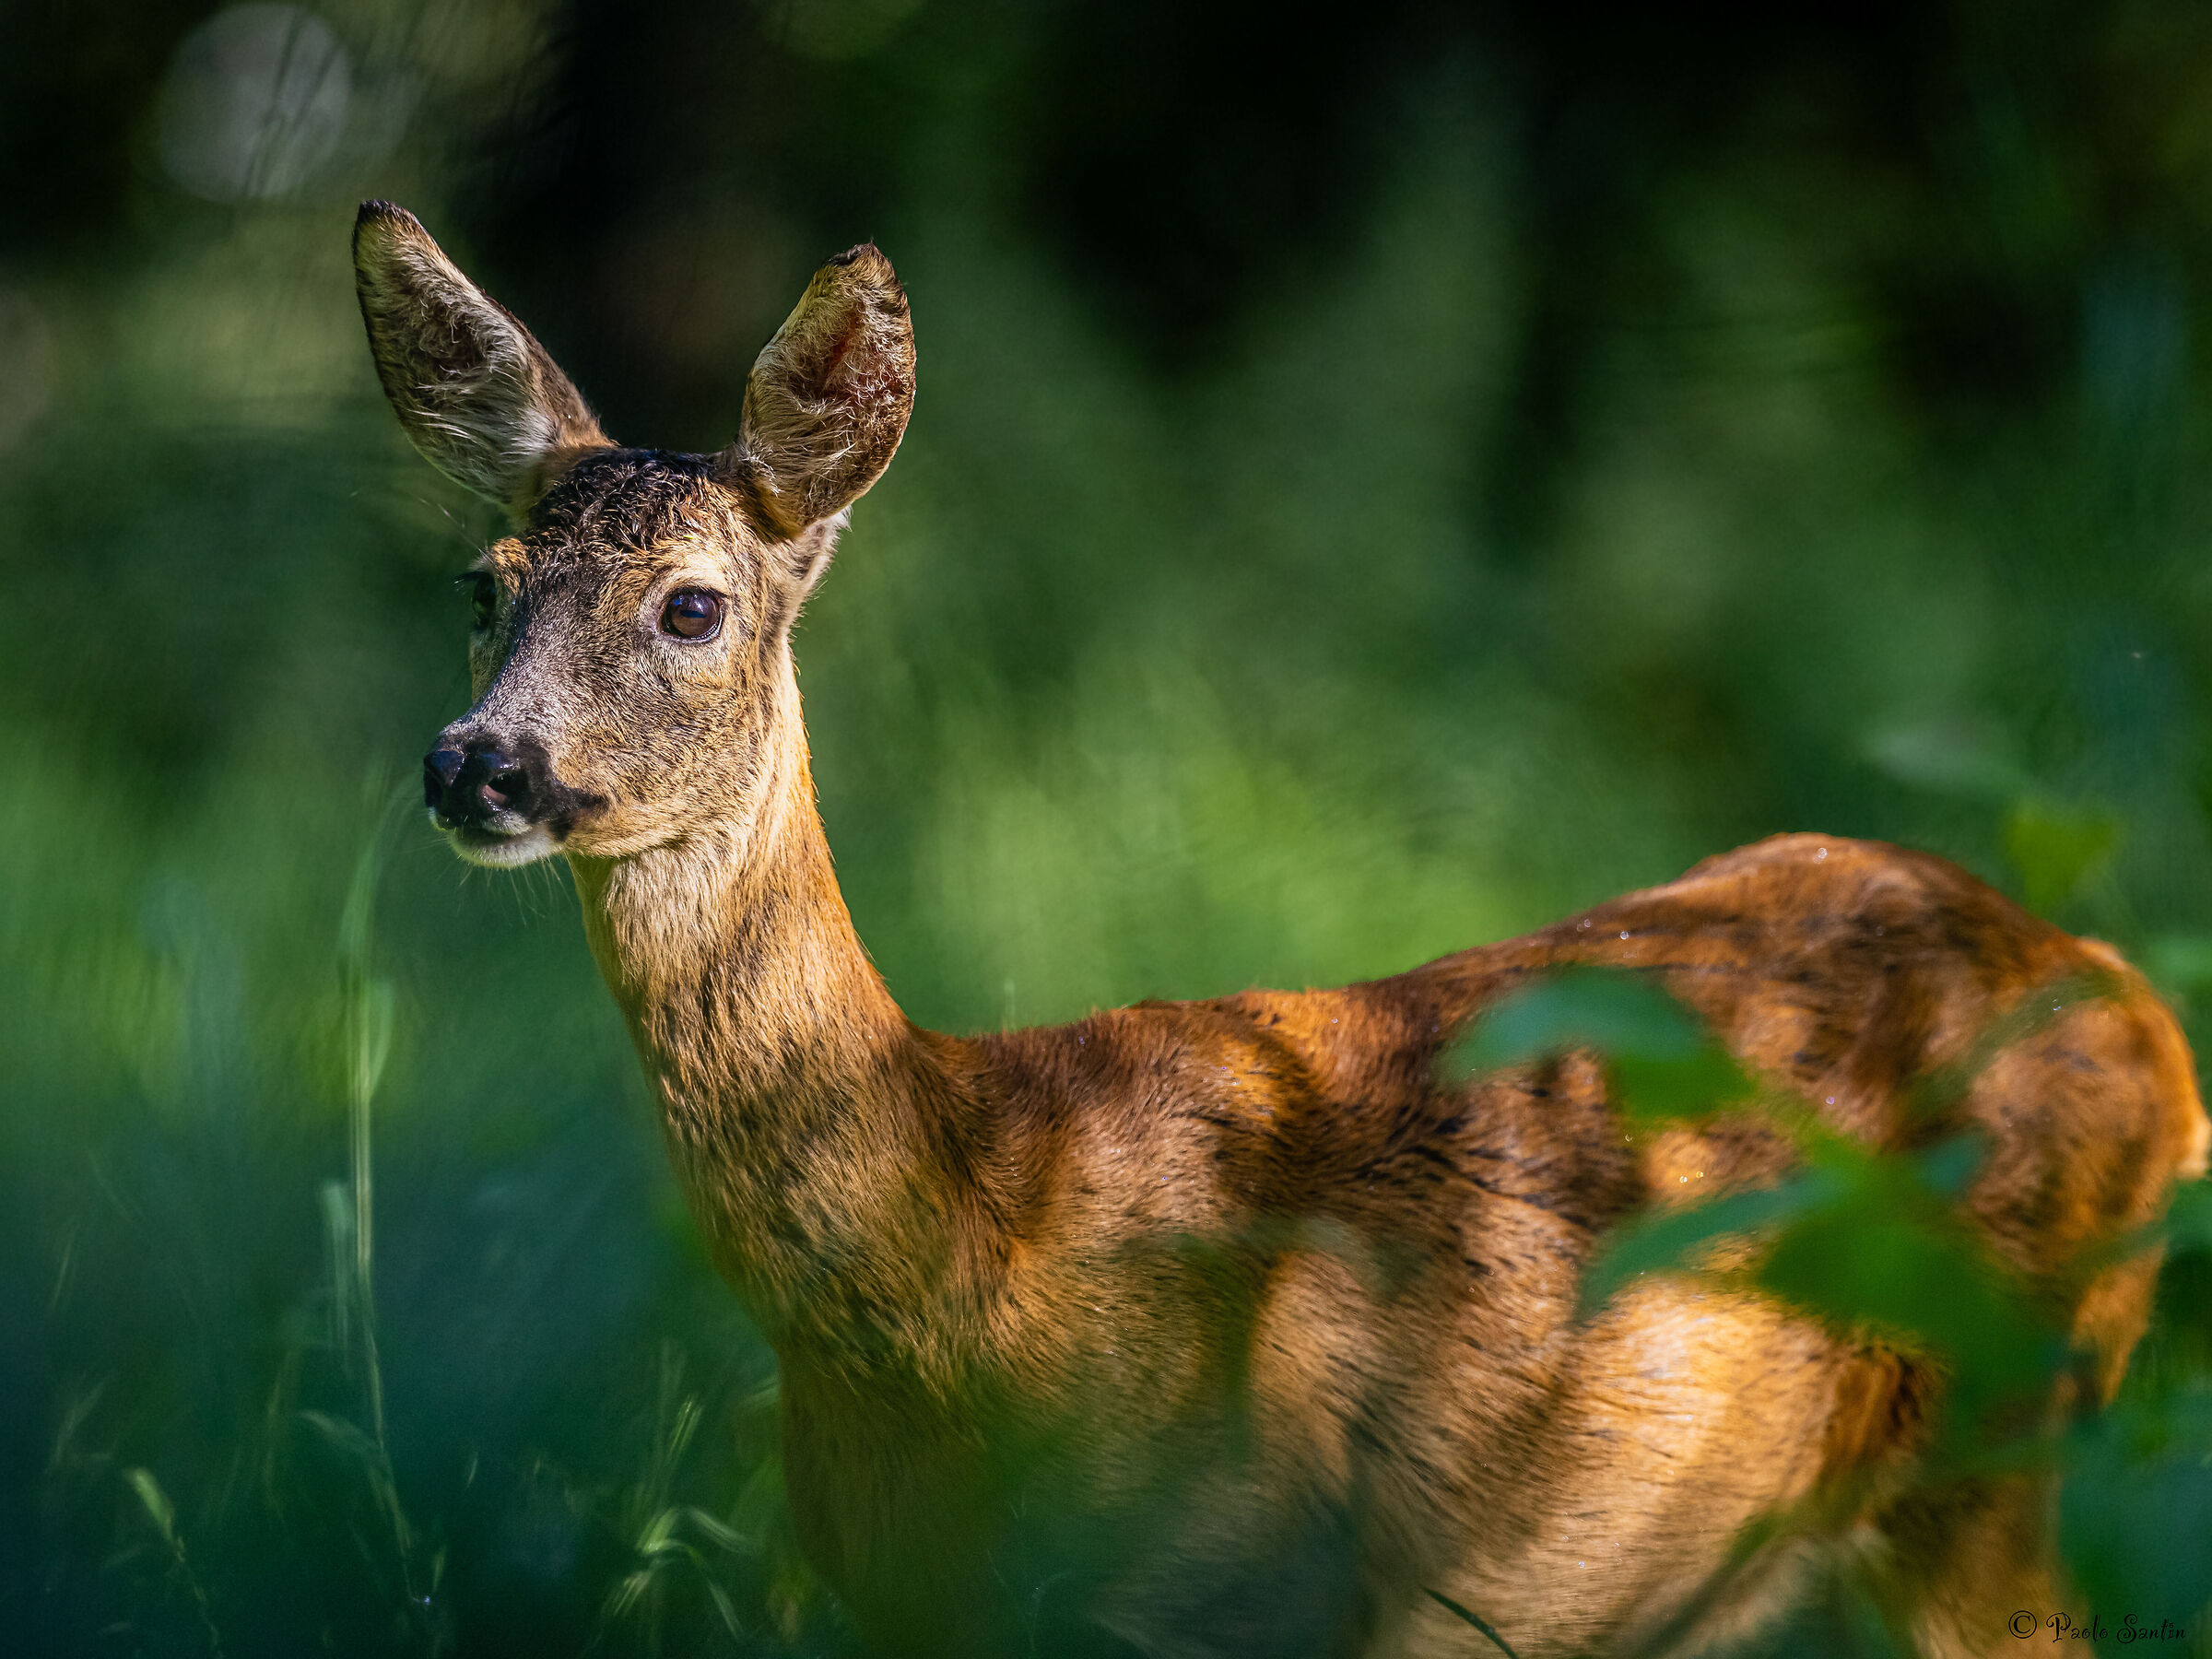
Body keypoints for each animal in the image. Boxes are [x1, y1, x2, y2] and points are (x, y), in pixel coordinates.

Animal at [353, 199, 2209, 1659]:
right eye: (481, 586)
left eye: (691, 606)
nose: (480, 764)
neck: (966, 1258)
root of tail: (2135, 1010)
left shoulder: (1250, 1586)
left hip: (2010, 1435)